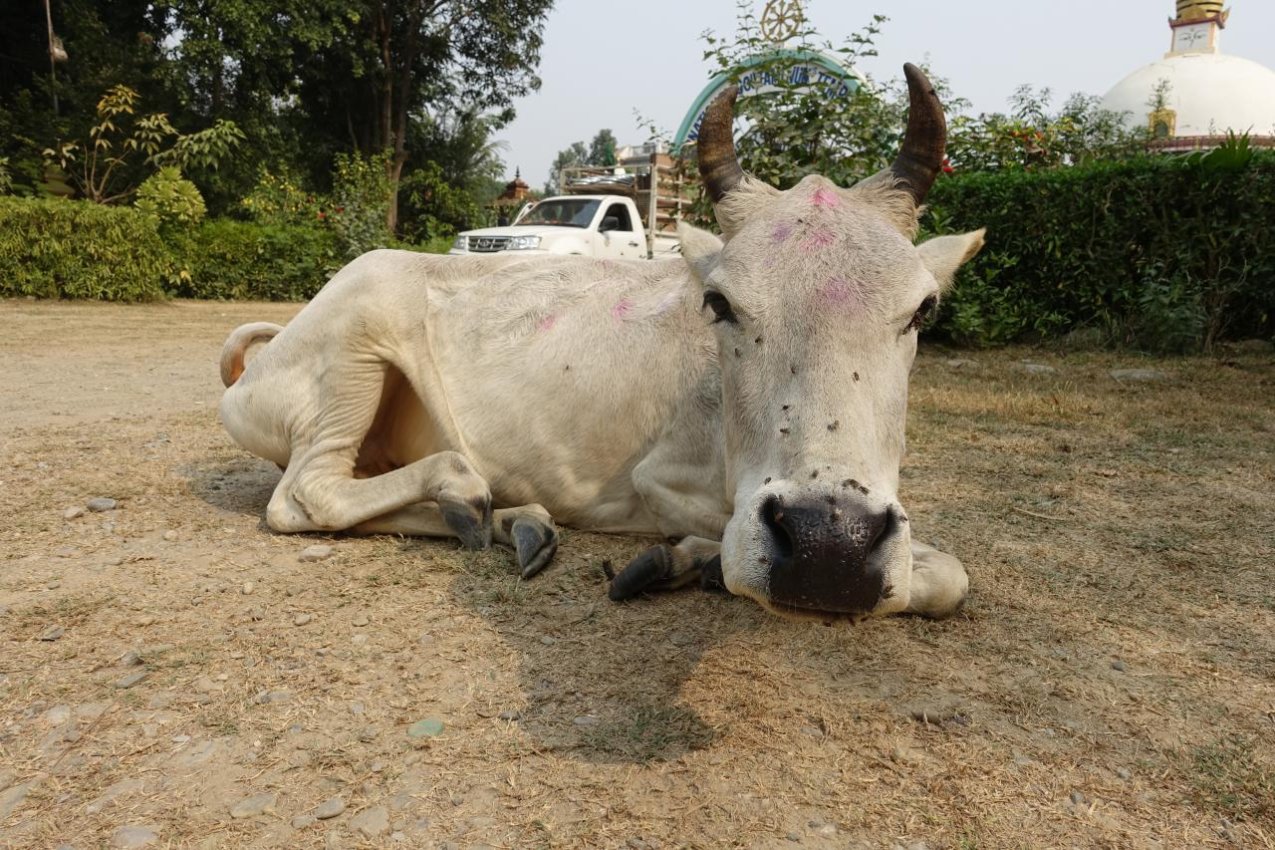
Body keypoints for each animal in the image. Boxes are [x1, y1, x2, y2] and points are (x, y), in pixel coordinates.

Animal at [219, 66, 979, 621]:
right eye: (721, 304)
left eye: (922, 310)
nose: (828, 546)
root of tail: (255, 369)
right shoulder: (660, 481)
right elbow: (943, 572)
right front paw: (691, 559)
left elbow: (950, 576)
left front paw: (691, 562)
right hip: (358, 333)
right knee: (308, 496)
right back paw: (467, 493)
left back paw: (511, 522)